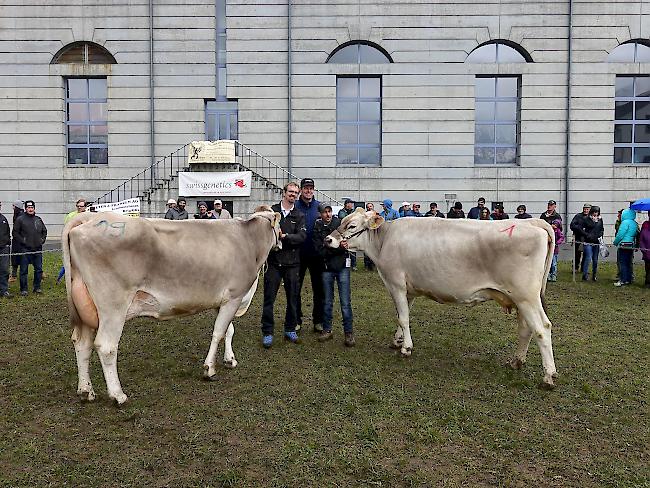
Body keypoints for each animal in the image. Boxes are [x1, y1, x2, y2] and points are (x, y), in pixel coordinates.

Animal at [62, 207, 280, 404]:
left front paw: (229, 359)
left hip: (86, 307)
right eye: (278, 225)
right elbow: (218, 332)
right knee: (106, 346)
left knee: (82, 343)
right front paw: (209, 369)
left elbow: (229, 330)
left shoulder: (224, 300)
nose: (282, 240)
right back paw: (118, 395)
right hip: (113, 305)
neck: (249, 240)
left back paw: (85, 391)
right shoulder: (234, 295)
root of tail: (90, 217)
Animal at [324, 210, 556, 388]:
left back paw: (548, 376)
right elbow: (401, 316)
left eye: (351, 226)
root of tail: (532, 222)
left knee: (542, 328)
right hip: (521, 299)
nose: (328, 239)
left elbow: (404, 318)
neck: (384, 241)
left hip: (526, 297)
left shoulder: (396, 283)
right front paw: (397, 341)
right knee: (526, 329)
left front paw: (406, 348)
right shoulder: (407, 290)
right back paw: (516, 362)